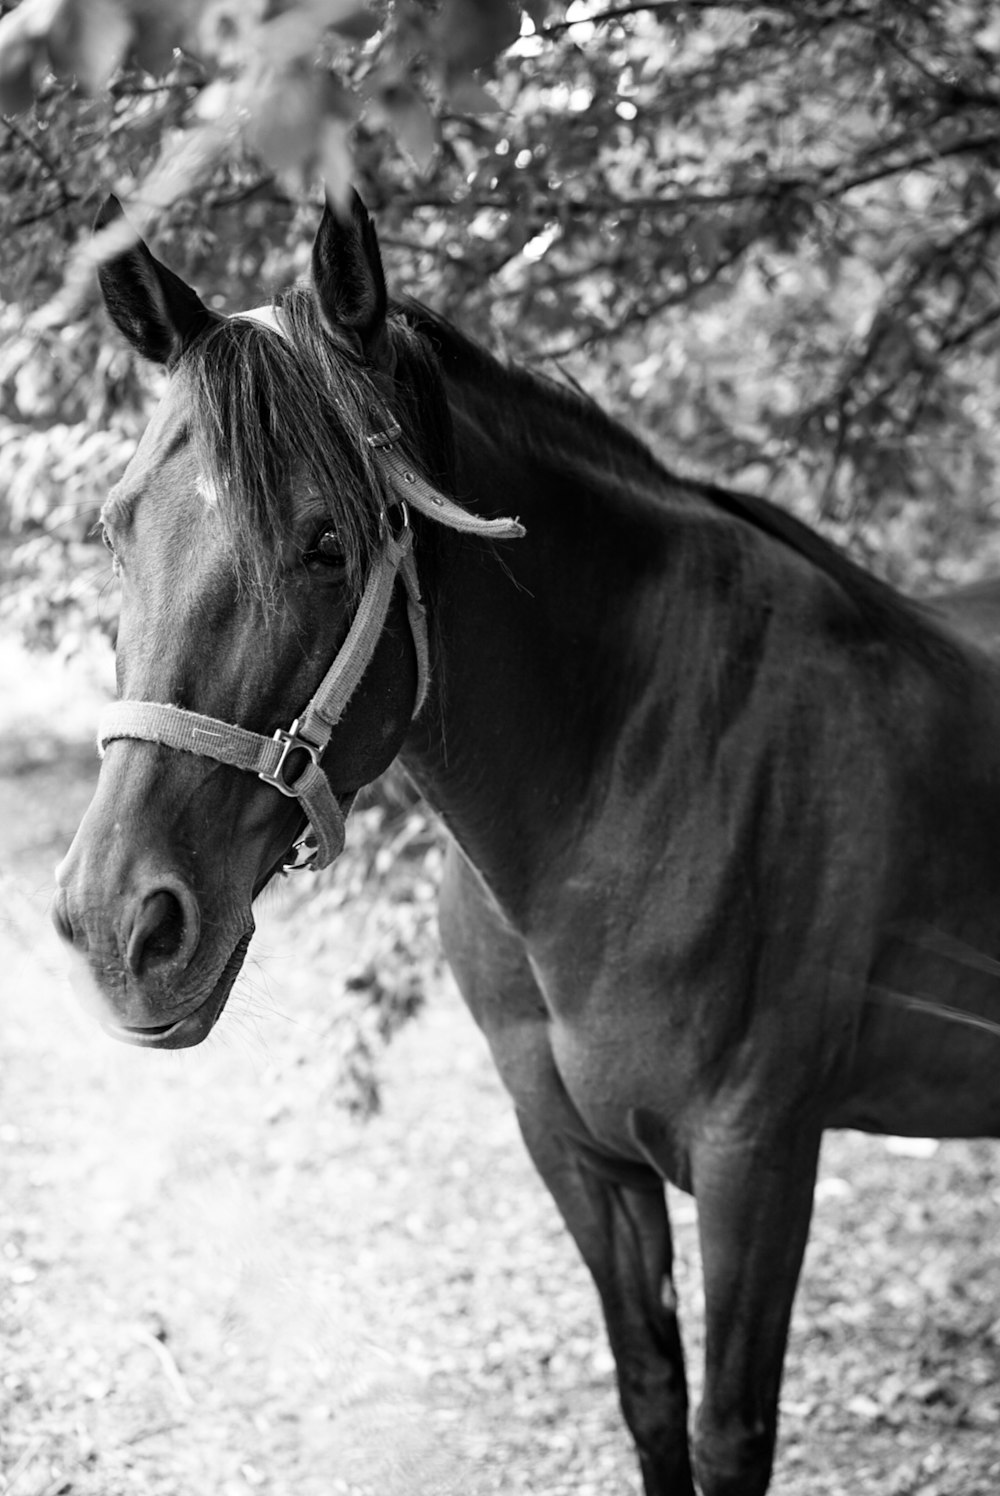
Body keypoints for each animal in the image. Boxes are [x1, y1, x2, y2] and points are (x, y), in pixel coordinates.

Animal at [54, 189, 1000, 1496]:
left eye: (329, 544)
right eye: (115, 530)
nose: (117, 924)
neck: (636, 765)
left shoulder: (759, 1156)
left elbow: (728, 1432)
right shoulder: (577, 1154)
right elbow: (652, 1400)